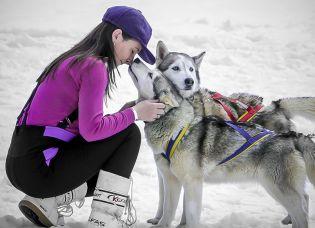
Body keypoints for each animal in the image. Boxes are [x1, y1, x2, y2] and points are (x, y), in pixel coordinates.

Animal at [129, 59, 315, 228]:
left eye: (151, 74)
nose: (136, 59)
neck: (177, 130)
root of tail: (293, 137)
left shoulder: (191, 182)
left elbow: (186, 215)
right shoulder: (170, 179)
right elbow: (166, 211)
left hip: (278, 189)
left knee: (301, 211)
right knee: (304, 199)